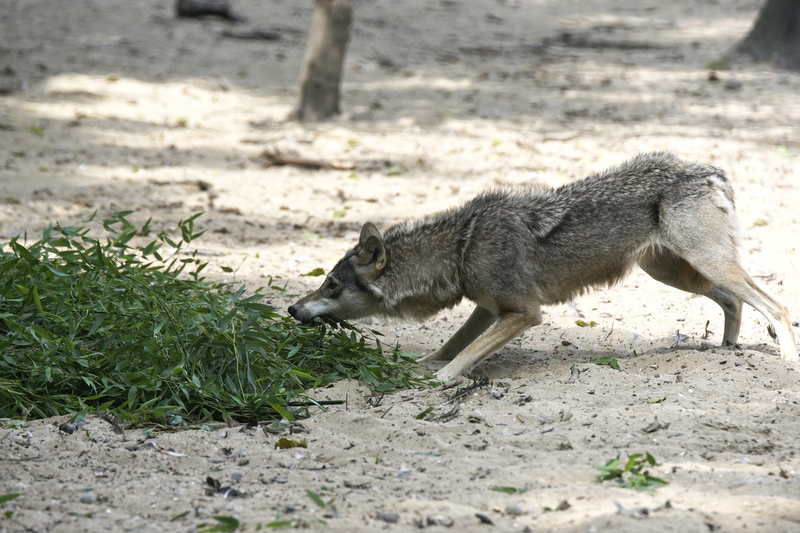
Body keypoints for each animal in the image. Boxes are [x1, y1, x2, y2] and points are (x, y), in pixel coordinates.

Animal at [288, 152, 799, 381]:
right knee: (735, 302)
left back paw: (786, 360)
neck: (459, 248)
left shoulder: (524, 313)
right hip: (680, 274)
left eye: (330, 286)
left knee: (776, 306)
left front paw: (435, 381)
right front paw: (423, 363)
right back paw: (726, 352)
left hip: (705, 265)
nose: (292, 310)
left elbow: (463, 358)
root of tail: (709, 170)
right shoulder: (488, 308)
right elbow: (451, 344)